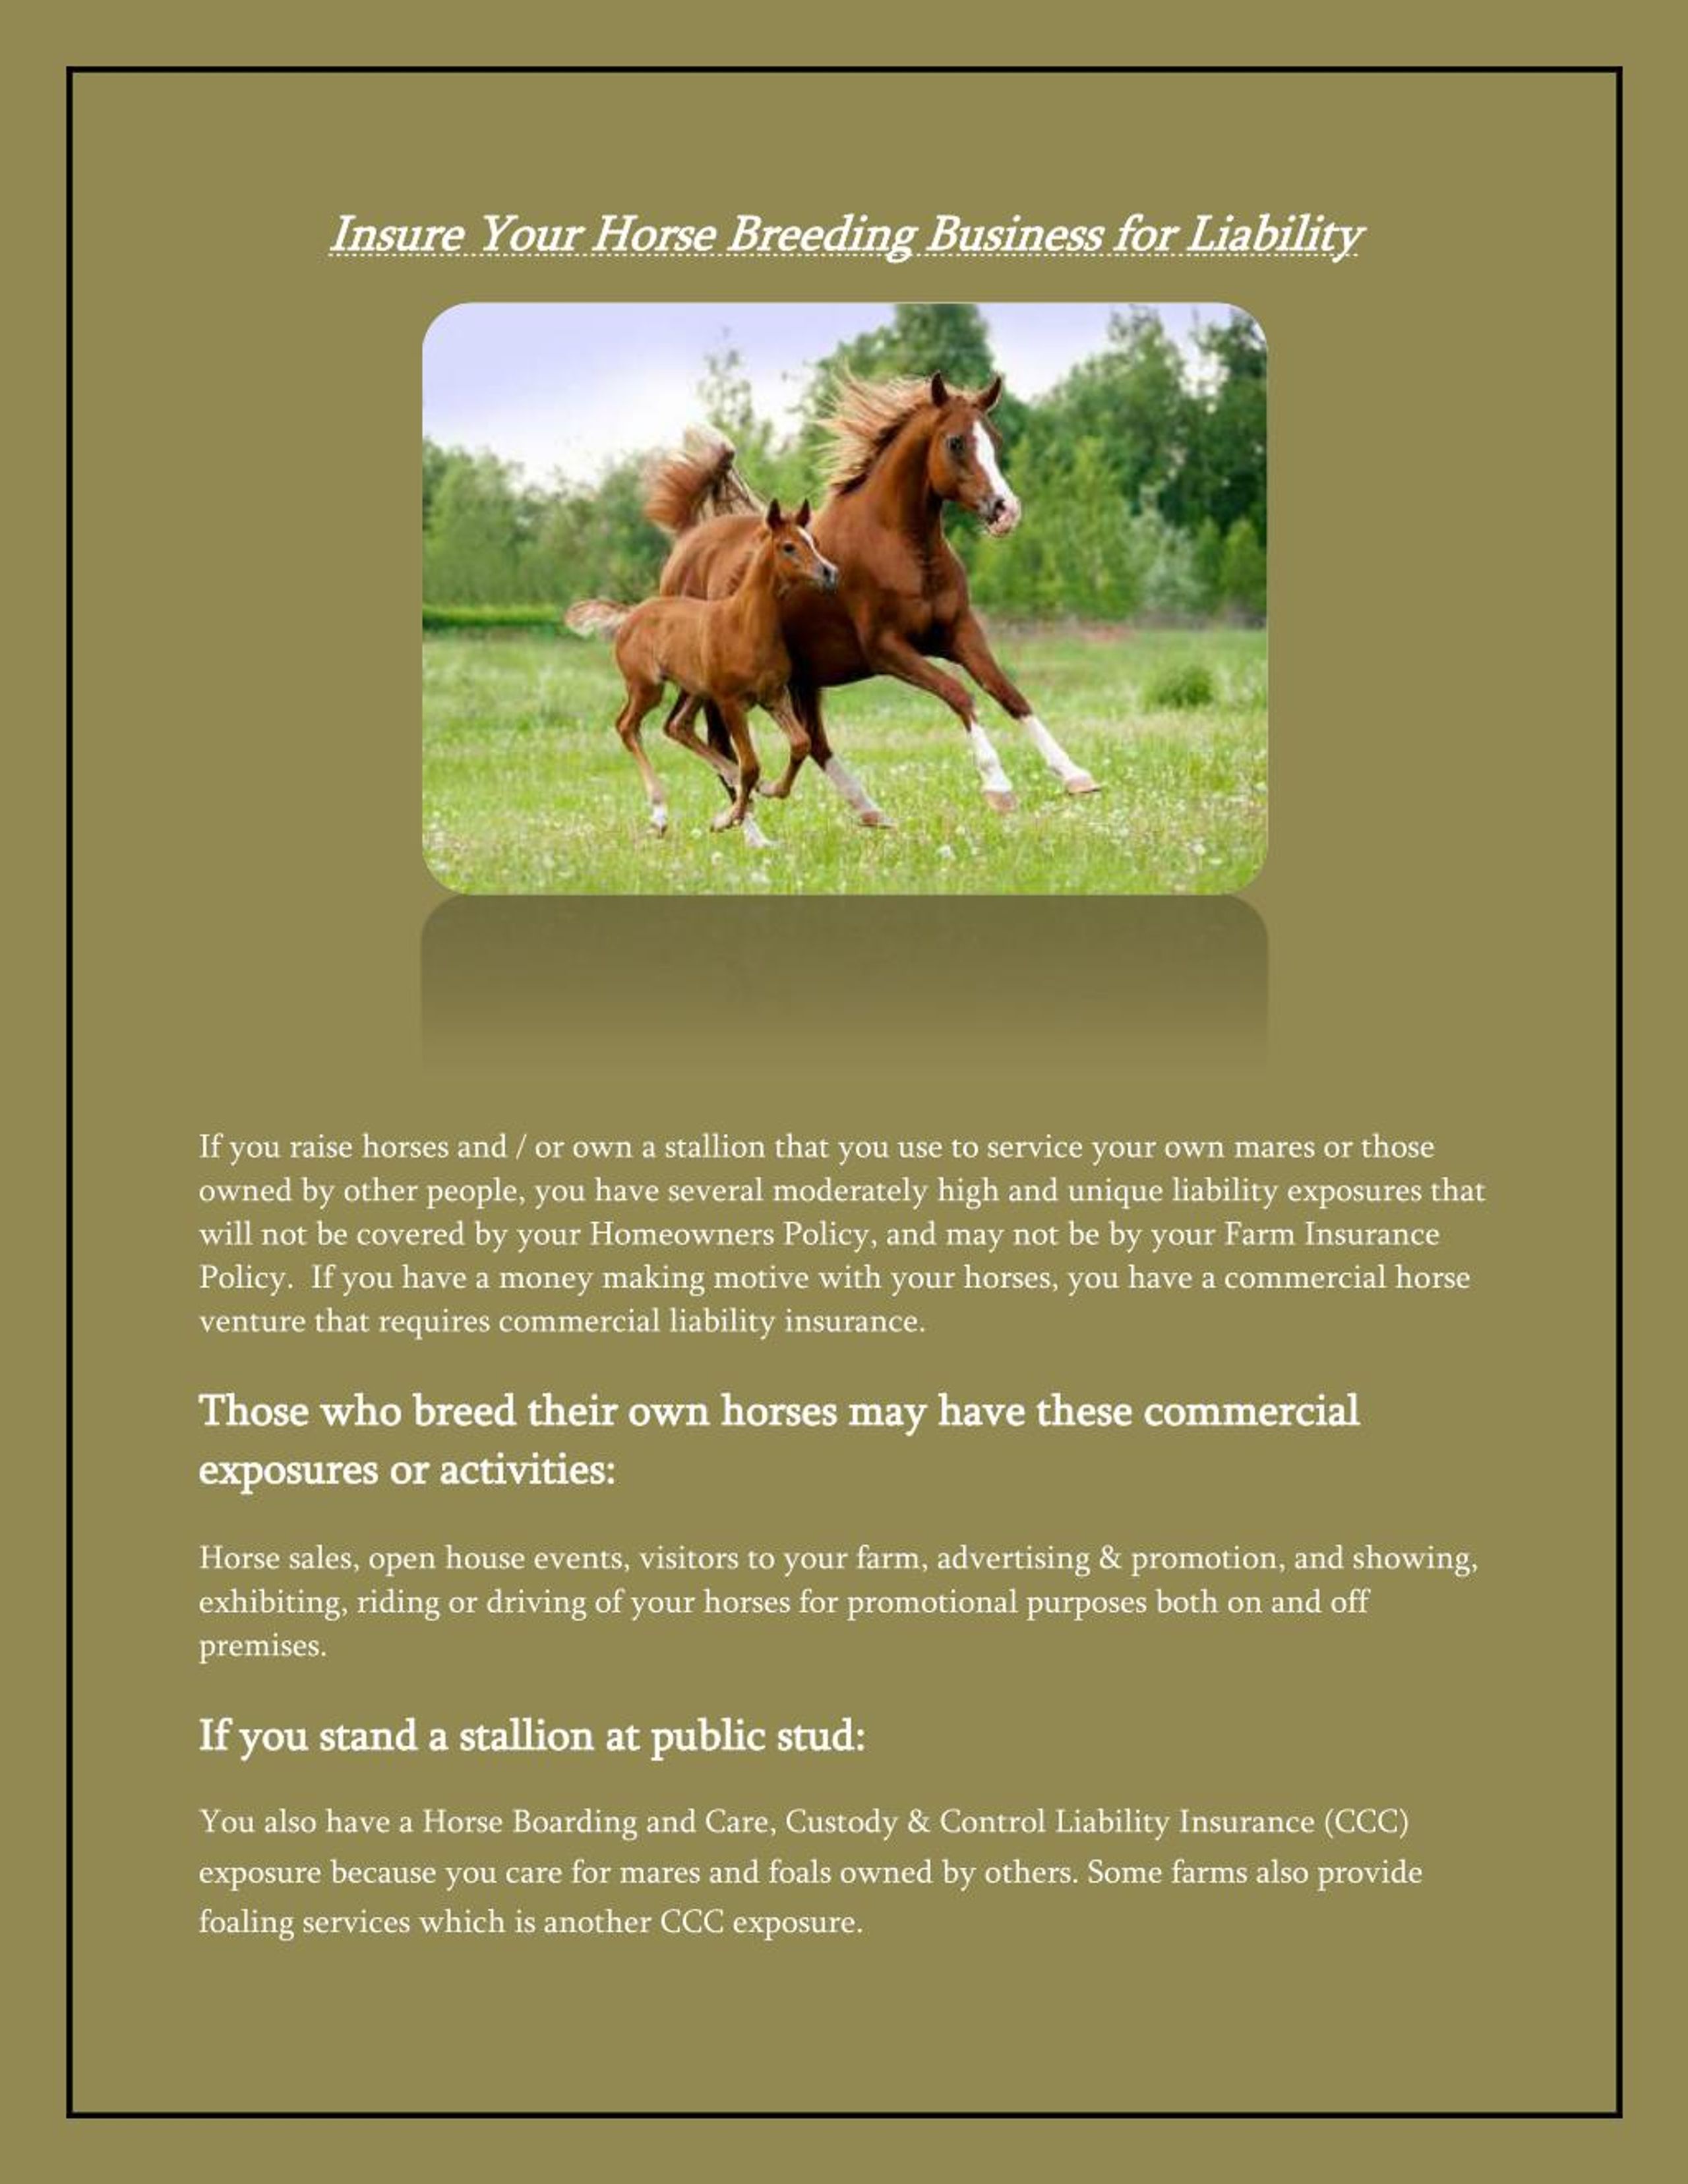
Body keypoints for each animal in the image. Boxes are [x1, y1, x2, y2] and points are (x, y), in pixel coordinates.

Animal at [566, 499, 838, 839]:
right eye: (788, 547)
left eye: (814, 542)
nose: (829, 573)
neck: (745, 624)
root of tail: (631, 614)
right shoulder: (730, 702)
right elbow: (751, 765)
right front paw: (727, 819)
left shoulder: (774, 696)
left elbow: (800, 743)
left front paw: (771, 788)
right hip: (647, 688)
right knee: (627, 726)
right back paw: (659, 812)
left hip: (695, 690)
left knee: (678, 726)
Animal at [644, 373, 1100, 825]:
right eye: (955, 442)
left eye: (996, 439)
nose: (1006, 510)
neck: (900, 546)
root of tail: (686, 543)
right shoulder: (886, 649)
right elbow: (959, 694)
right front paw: (998, 787)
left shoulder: (959, 633)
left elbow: (1009, 694)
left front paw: (1076, 775)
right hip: (721, 685)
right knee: (721, 745)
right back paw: (746, 826)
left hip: (802, 678)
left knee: (813, 742)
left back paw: (868, 809)